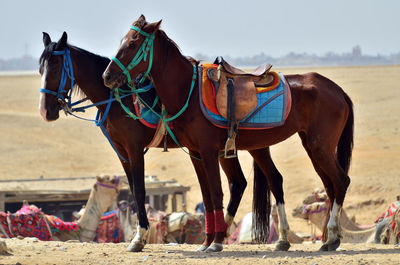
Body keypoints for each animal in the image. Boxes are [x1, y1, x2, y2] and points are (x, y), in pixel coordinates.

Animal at [38, 32, 276, 251]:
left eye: (55, 68)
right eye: (40, 69)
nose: (46, 111)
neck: (118, 98)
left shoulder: (134, 148)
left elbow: (140, 191)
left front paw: (139, 238)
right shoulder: (122, 153)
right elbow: (134, 190)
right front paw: (138, 237)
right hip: (230, 149)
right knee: (239, 182)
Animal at [103, 15, 354, 251]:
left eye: (133, 43)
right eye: (122, 41)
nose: (107, 76)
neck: (188, 91)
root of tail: (338, 90)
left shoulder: (208, 151)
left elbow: (216, 193)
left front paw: (215, 242)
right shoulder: (196, 153)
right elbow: (206, 196)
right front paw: (207, 241)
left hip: (320, 146)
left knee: (341, 181)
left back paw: (332, 236)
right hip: (311, 146)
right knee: (326, 186)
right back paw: (320, 240)